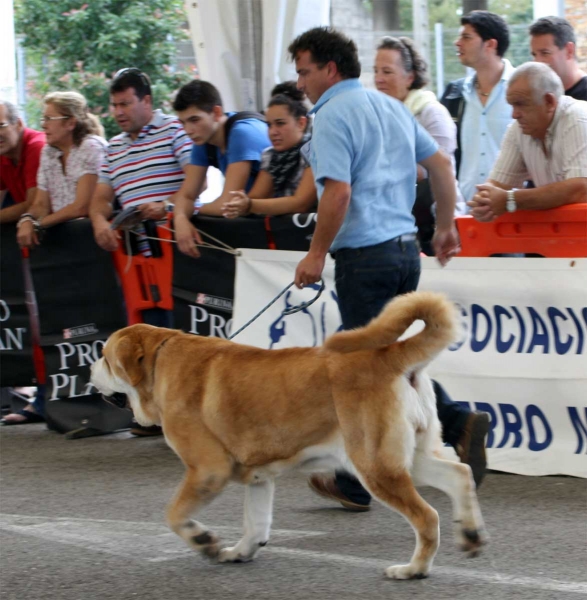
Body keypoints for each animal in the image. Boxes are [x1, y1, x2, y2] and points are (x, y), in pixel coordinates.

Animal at [92, 292, 486, 580]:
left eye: (106, 358)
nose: (90, 369)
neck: (160, 360)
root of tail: (390, 355)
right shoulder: (258, 478)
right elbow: (255, 523)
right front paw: (240, 552)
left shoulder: (207, 470)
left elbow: (174, 514)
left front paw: (204, 541)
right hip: (407, 458)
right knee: (460, 474)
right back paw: (470, 535)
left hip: (375, 465)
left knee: (427, 517)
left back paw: (414, 569)